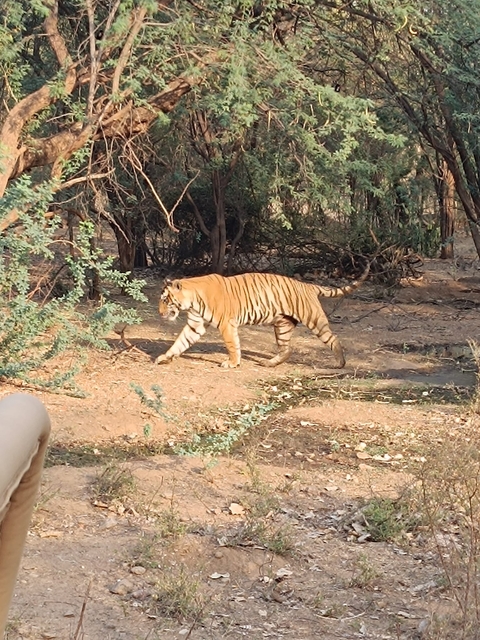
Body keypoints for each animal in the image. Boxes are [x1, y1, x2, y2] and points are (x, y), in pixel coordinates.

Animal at [155, 263, 369, 369]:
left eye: (165, 300)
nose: (159, 312)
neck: (192, 300)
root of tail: (308, 285)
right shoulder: (195, 324)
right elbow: (180, 342)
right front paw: (165, 357)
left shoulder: (226, 324)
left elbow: (232, 345)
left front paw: (232, 363)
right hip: (282, 325)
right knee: (286, 350)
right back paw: (269, 363)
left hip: (314, 320)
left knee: (333, 338)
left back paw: (341, 363)